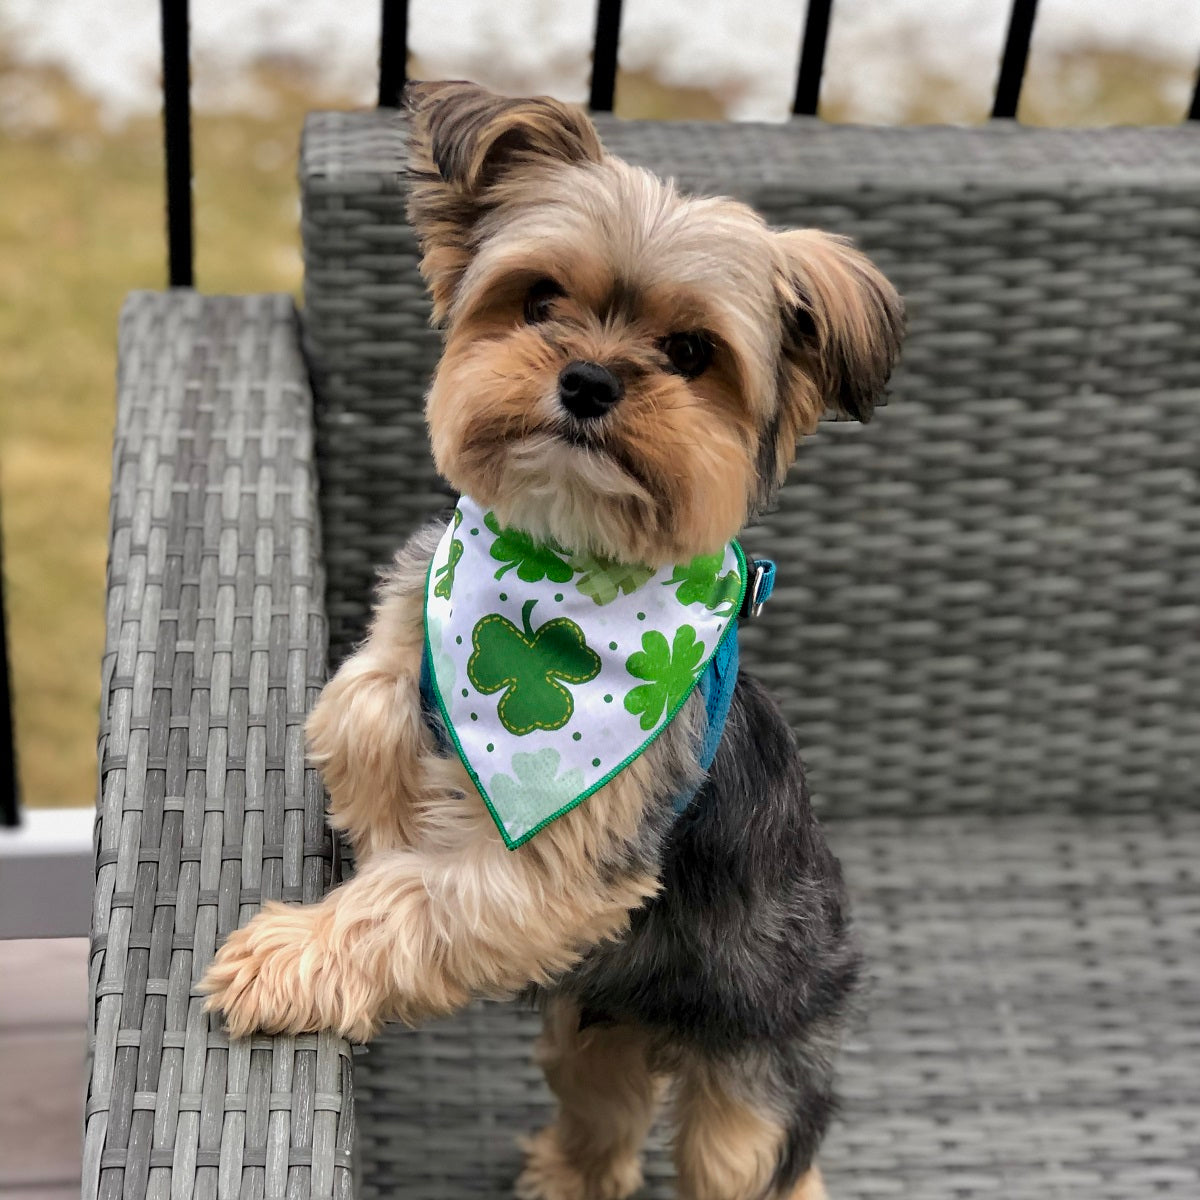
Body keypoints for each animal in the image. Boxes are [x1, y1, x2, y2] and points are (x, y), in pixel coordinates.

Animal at [201, 79, 902, 1195]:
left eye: (691, 353)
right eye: (537, 300)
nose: (587, 380)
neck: (556, 581)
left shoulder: (549, 868)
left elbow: (407, 899)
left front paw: (289, 957)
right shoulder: (418, 616)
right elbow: (360, 698)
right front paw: (391, 797)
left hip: (760, 1069)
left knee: (757, 1158)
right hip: (591, 1032)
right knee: (606, 1115)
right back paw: (569, 1171)